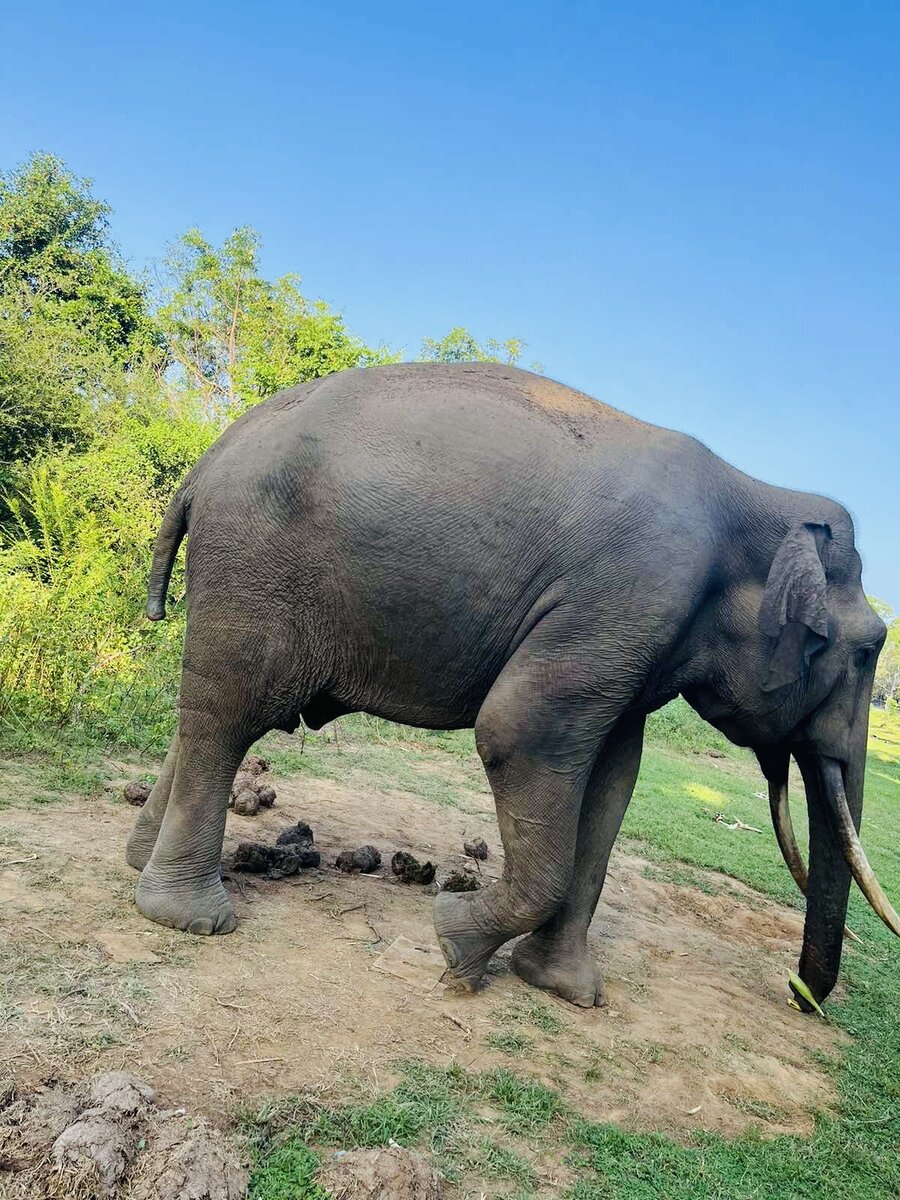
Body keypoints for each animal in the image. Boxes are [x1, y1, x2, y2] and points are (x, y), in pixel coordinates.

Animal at [128, 360, 900, 1008]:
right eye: (868, 651)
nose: (798, 996)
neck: (760, 491)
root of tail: (206, 462)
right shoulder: (634, 590)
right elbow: (521, 731)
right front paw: (454, 943)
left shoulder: (635, 636)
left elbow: (614, 778)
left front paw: (567, 991)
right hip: (253, 560)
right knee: (233, 711)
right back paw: (190, 918)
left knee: (207, 712)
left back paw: (139, 860)